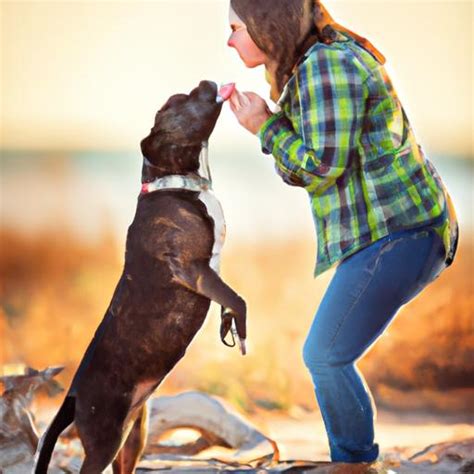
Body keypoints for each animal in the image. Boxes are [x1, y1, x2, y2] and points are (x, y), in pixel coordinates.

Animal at [35, 81, 246, 474]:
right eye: (178, 101)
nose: (205, 82)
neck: (174, 182)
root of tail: (73, 396)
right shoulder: (193, 268)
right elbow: (237, 299)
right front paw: (241, 330)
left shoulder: (212, 270)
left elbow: (228, 299)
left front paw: (230, 328)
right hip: (106, 439)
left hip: (135, 434)